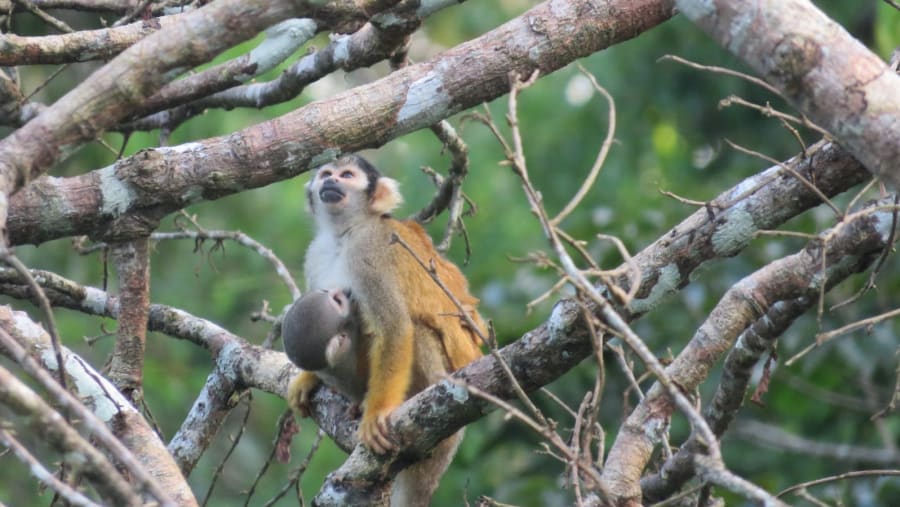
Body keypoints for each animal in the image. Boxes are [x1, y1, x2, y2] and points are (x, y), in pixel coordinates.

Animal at [288, 153, 485, 506]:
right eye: (326, 173)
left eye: (347, 175)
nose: (331, 182)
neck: (345, 234)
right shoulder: (315, 254)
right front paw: (306, 379)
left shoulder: (370, 253)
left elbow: (395, 328)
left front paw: (377, 414)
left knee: (416, 329)